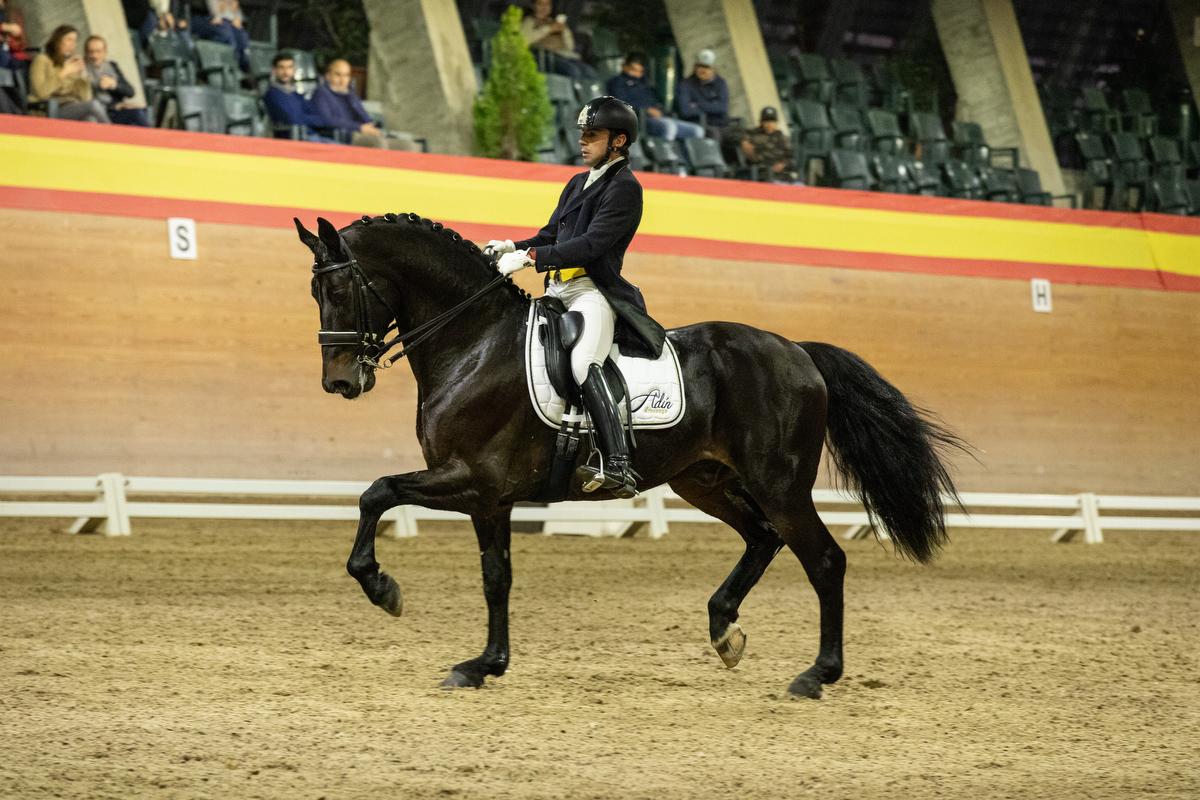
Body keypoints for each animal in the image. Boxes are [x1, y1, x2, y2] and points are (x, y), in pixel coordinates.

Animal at [297, 212, 964, 700]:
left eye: (340, 287)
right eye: (314, 291)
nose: (339, 382)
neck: (474, 341)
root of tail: (797, 351)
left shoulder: (470, 479)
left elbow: (377, 491)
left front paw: (382, 588)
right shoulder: (491, 499)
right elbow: (496, 577)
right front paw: (484, 663)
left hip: (779, 483)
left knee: (822, 559)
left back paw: (816, 674)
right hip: (705, 480)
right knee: (763, 537)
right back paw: (724, 630)